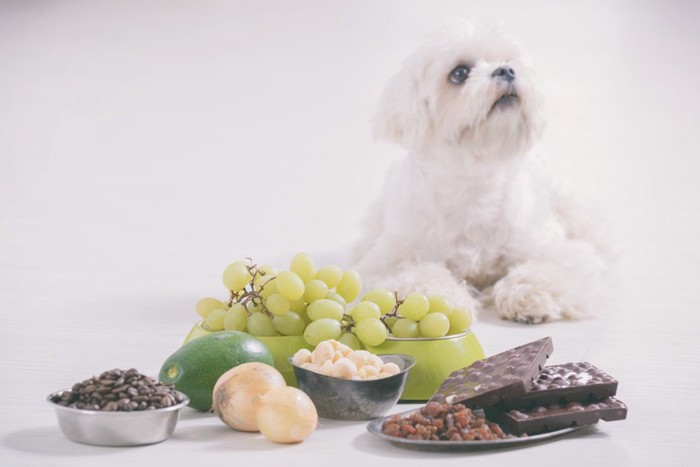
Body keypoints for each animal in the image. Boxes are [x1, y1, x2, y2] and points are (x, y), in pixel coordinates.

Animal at [352, 22, 608, 326]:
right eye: (459, 73)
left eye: (508, 61)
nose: (506, 70)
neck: (475, 181)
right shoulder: (395, 257)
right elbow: (421, 276)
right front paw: (444, 303)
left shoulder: (556, 248)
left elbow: (550, 267)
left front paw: (530, 294)